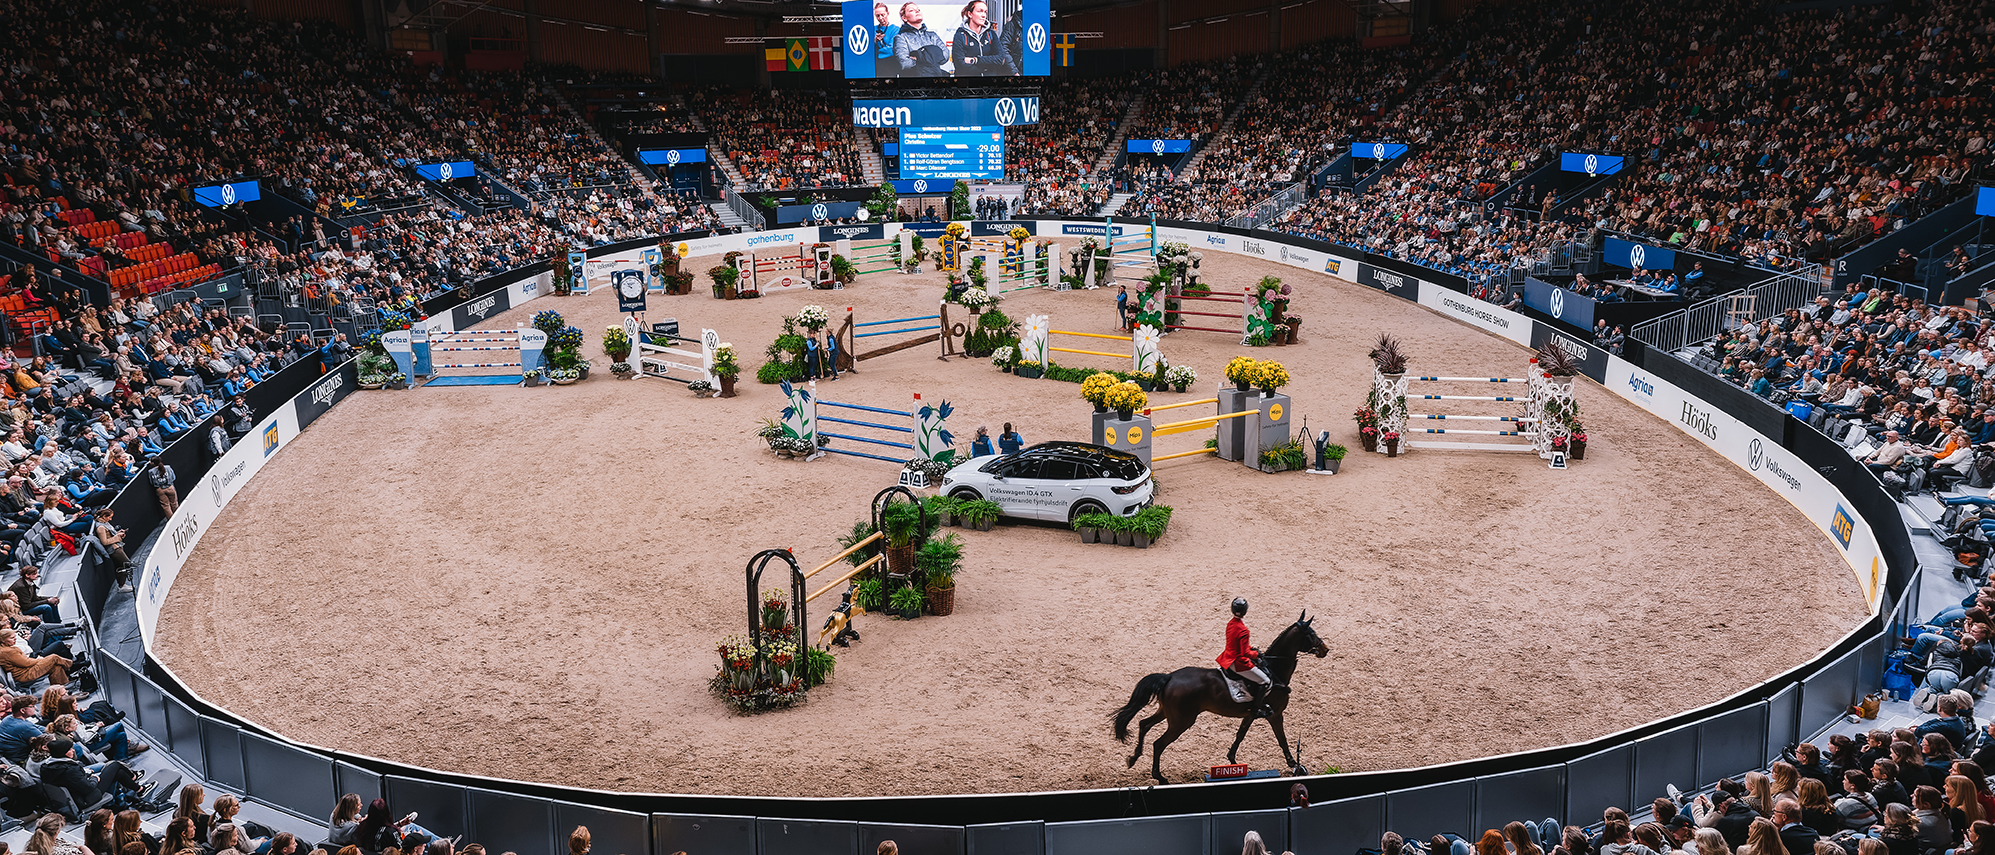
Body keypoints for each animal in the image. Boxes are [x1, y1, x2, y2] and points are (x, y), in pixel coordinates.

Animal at [1109, 609, 1324, 781]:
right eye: (1311, 634)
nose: (1325, 649)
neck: (1274, 669)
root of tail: (1169, 677)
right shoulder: (1276, 714)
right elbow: (1282, 739)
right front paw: (1295, 765)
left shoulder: (1251, 714)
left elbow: (1240, 735)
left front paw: (1232, 761)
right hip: (1181, 721)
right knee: (1159, 743)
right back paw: (1160, 777)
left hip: (1167, 713)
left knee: (1144, 724)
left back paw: (1133, 758)